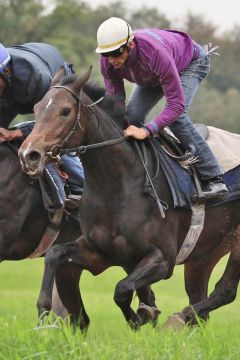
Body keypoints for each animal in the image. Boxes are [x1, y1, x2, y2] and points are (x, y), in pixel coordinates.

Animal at [17, 67, 239, 330]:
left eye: (65, 111)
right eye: (37, 108)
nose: (28, 155)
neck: (118, 186)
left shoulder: (163, 259)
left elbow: (122, 290)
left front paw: (141, 316)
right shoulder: (99, 252)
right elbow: (54, 254)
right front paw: (43, 312)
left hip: (235, 243)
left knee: (225, 290)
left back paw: (177, 319)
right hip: (206, 250)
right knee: (200, 297)